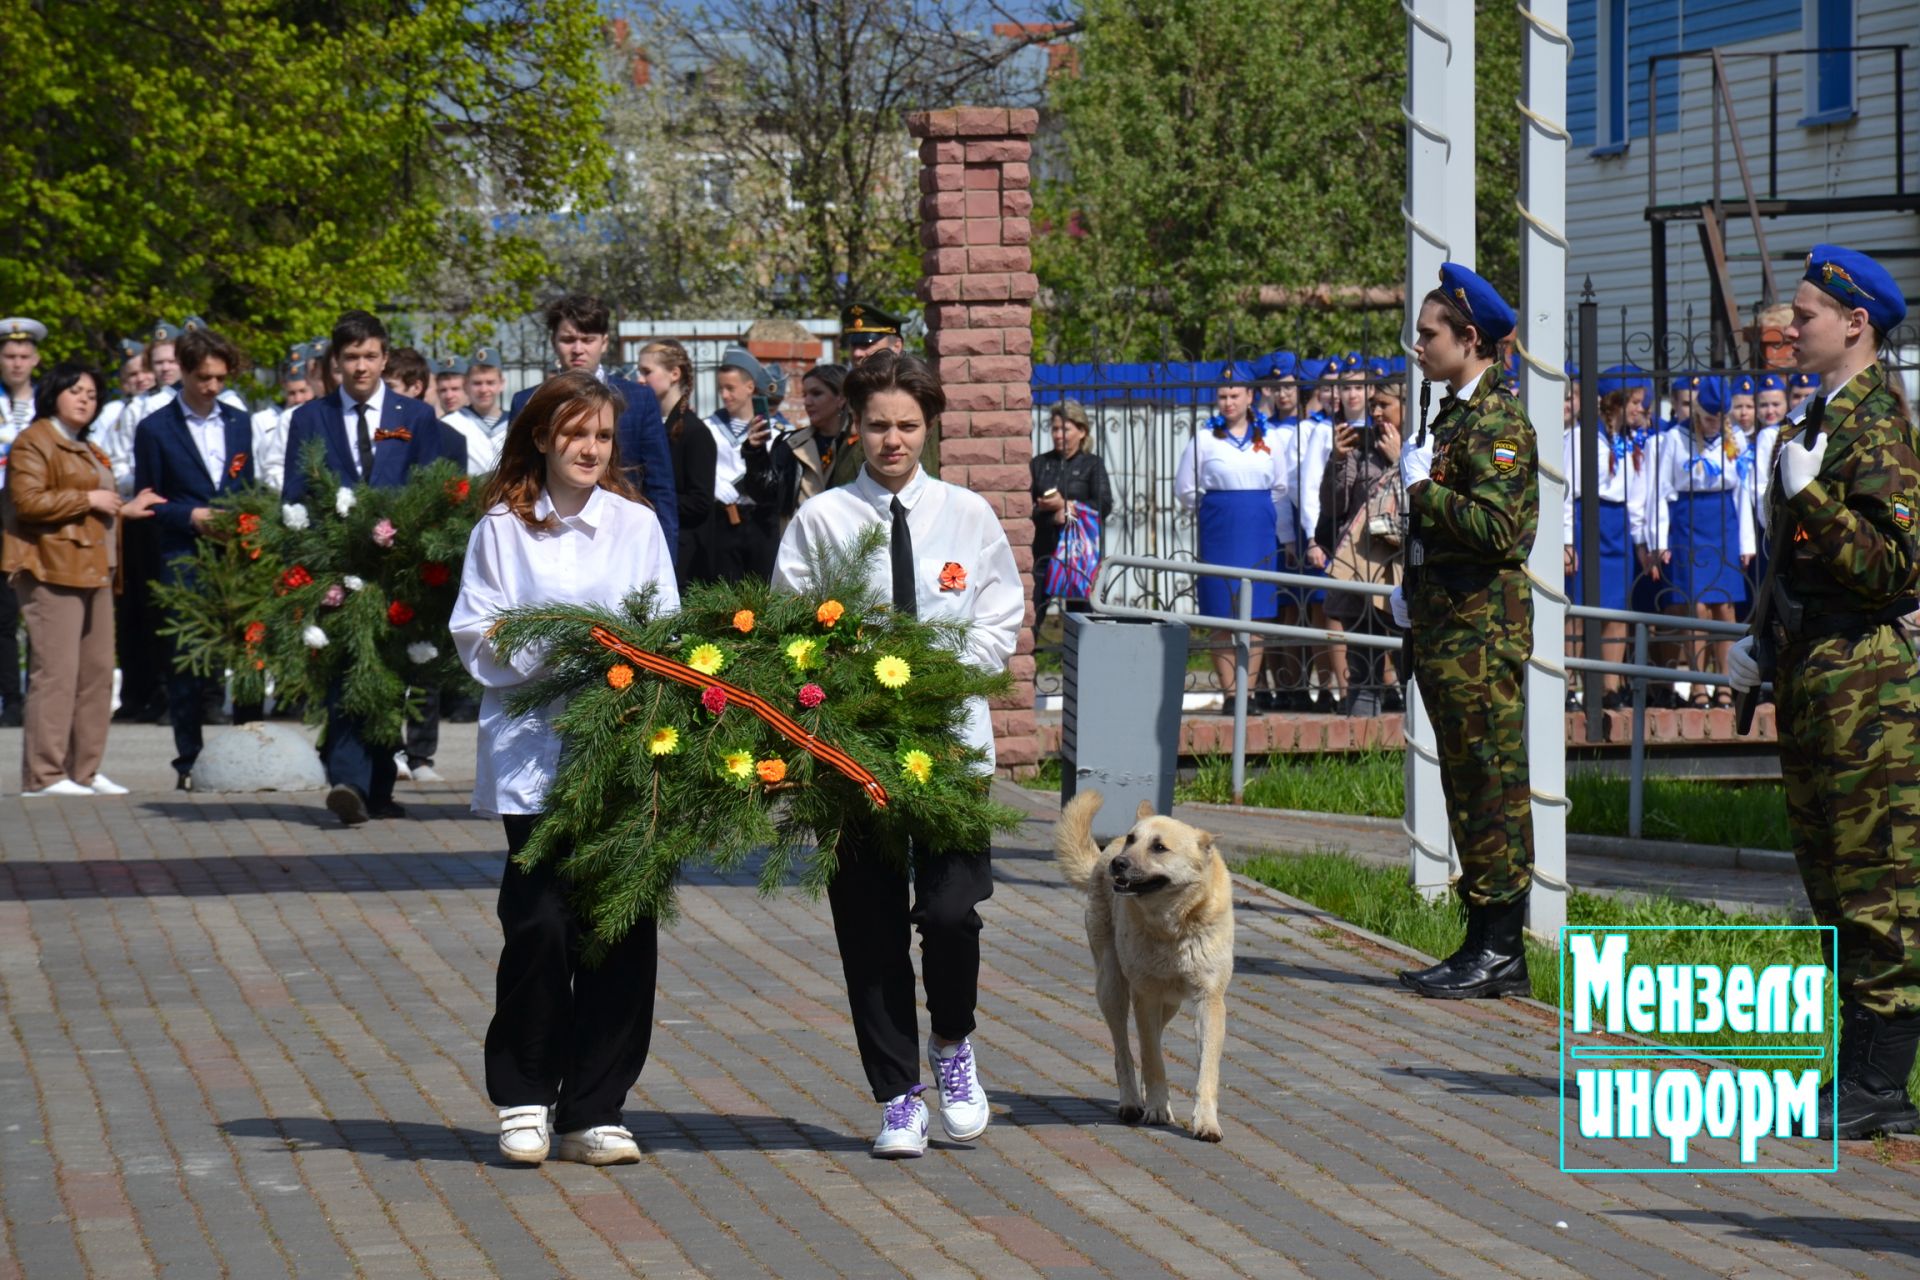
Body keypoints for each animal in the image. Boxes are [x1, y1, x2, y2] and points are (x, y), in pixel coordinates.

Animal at [1052, 790, 1228, 1143]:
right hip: (1112, 989)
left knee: (1152, 1043)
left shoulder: (1210, 1001)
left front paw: (1206, 1122)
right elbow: (1151, 1058)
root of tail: (1105, 851)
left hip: (1169, 1003)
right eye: (1134, 840)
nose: (1119, 864)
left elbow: (1206, 1070)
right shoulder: (1145, 996)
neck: (1174, 926)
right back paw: (1133, 1102)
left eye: (1159, 847)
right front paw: (1157, 1108)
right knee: (1126, 1052)